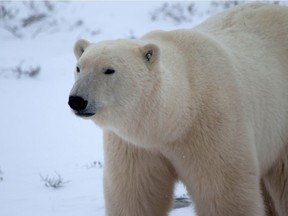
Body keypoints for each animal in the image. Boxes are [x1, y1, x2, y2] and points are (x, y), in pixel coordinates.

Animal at [68, 3, 288, 216]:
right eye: (79, 67)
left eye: (109, 70)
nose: (77, 100)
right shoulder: (136, 147)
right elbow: (135, 195)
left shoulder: (213, 128)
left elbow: (223, 193)